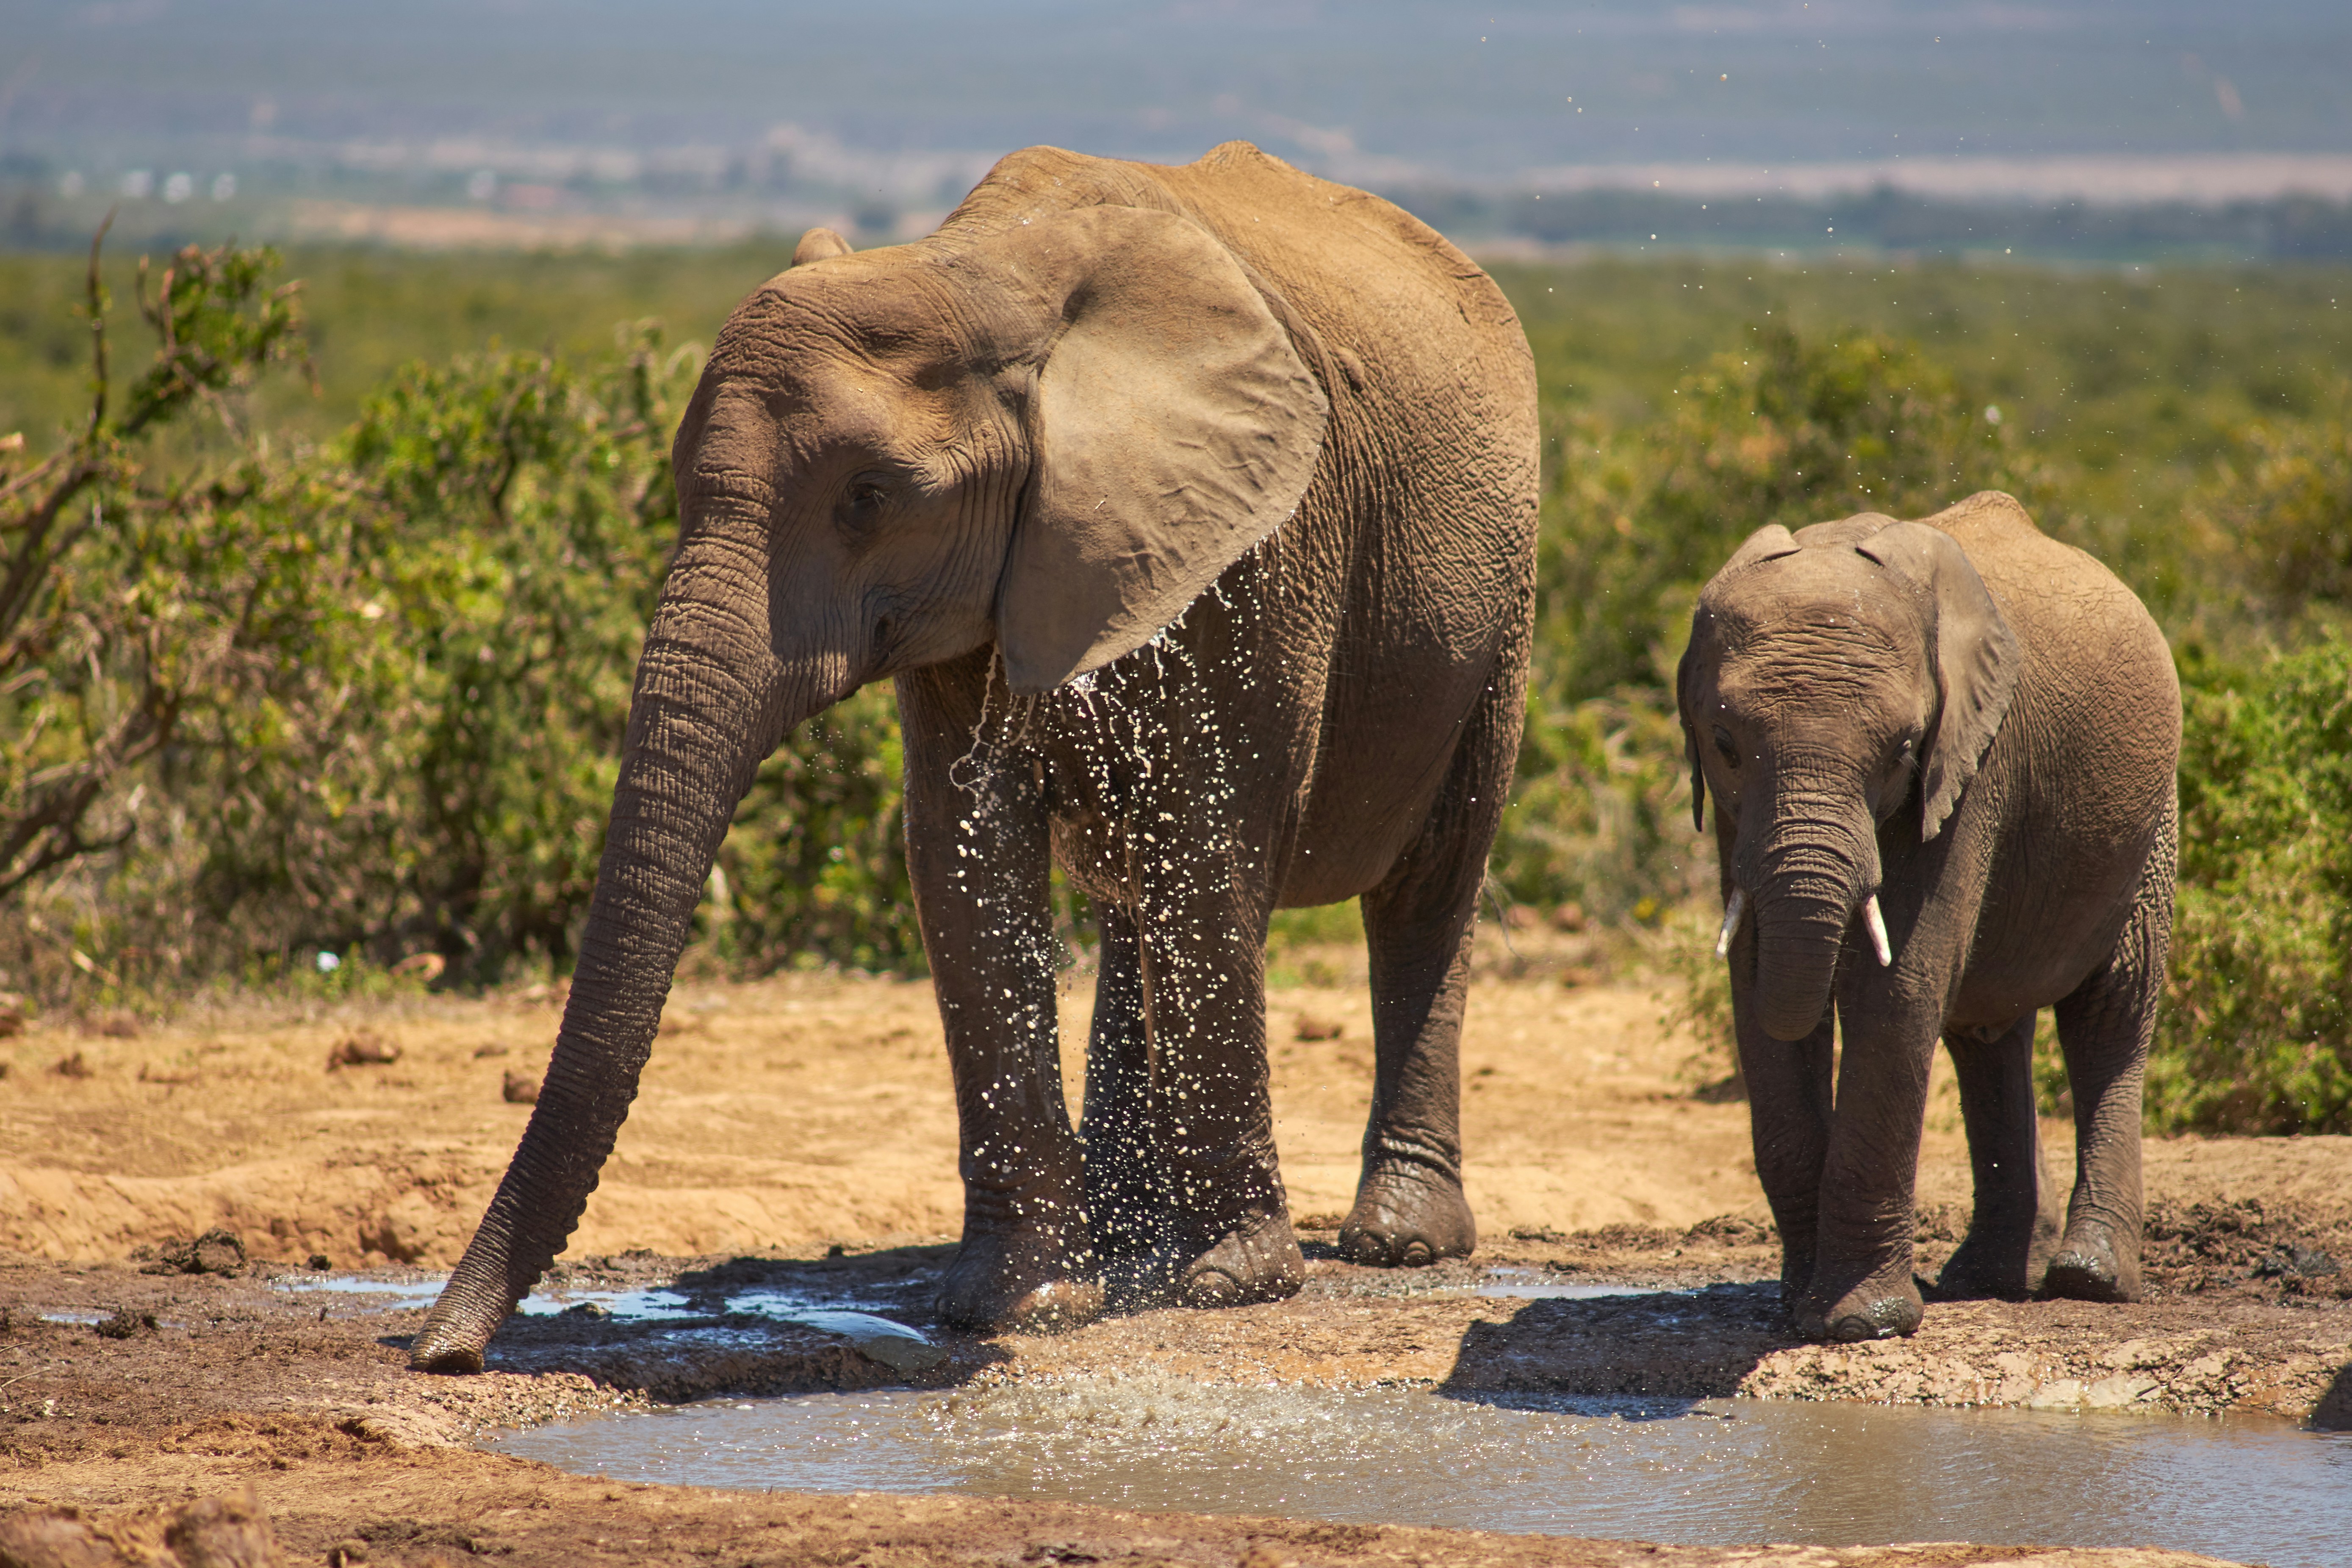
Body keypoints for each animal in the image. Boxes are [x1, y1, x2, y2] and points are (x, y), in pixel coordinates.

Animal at [409, 141, 1538, 1372]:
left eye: (869, 498)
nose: (440, 1350)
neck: (981, 272)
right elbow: (963, 850)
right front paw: (1026, 1301)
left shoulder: (1262, 544)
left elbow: (1208, 841)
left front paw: (1233, 1284)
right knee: (1135, 895)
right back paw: (1128, 1241)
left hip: (1498, 597)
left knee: (1428, 883)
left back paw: (1397, 1241)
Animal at [1676, 491, 2179, 1342]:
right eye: (1723, 744)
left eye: (1903, 749)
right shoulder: (1731, 819)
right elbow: (1757, 995)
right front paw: (1795, 1311)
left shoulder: (1969, 771)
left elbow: (1897, 989)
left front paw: (1859, 1323)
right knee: (1984, 1032)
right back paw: (1985, 1278)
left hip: (2151, 818)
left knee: (2111, 1009)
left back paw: (2089, 1279)